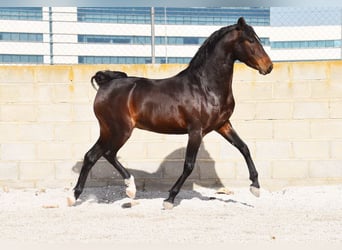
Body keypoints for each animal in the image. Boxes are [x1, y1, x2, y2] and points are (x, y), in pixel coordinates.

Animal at [70, 17, 272, 209]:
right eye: (250, 40)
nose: (268, 67)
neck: (205, 87)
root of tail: (105, 84)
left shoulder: (223, 125)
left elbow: (244, 147)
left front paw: (255, 187)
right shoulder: (196, 131)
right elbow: (189, 165)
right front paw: (170, 199)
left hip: (108, 130)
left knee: (94, 155)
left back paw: (80, 196)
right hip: (120, 130)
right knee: (105, 154)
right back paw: (122, 189)